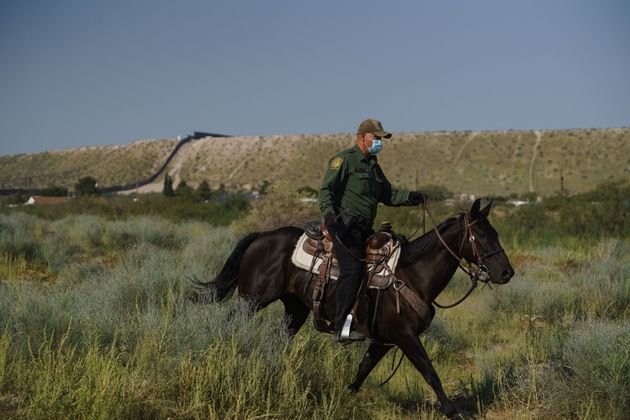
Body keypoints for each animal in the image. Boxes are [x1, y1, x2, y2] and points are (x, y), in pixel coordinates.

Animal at [198, 200, 512, 416]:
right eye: (481, 234)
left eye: (496, 232)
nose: (506, 272)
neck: (412, 275)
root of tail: (261, 236)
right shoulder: (406, 337)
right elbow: (430, 372)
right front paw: (451, 412)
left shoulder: (385, 340)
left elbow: (364, 369)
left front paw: (346, 395)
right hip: (251, 300)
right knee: (232, 324)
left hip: (295, 310)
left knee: (279, 339)